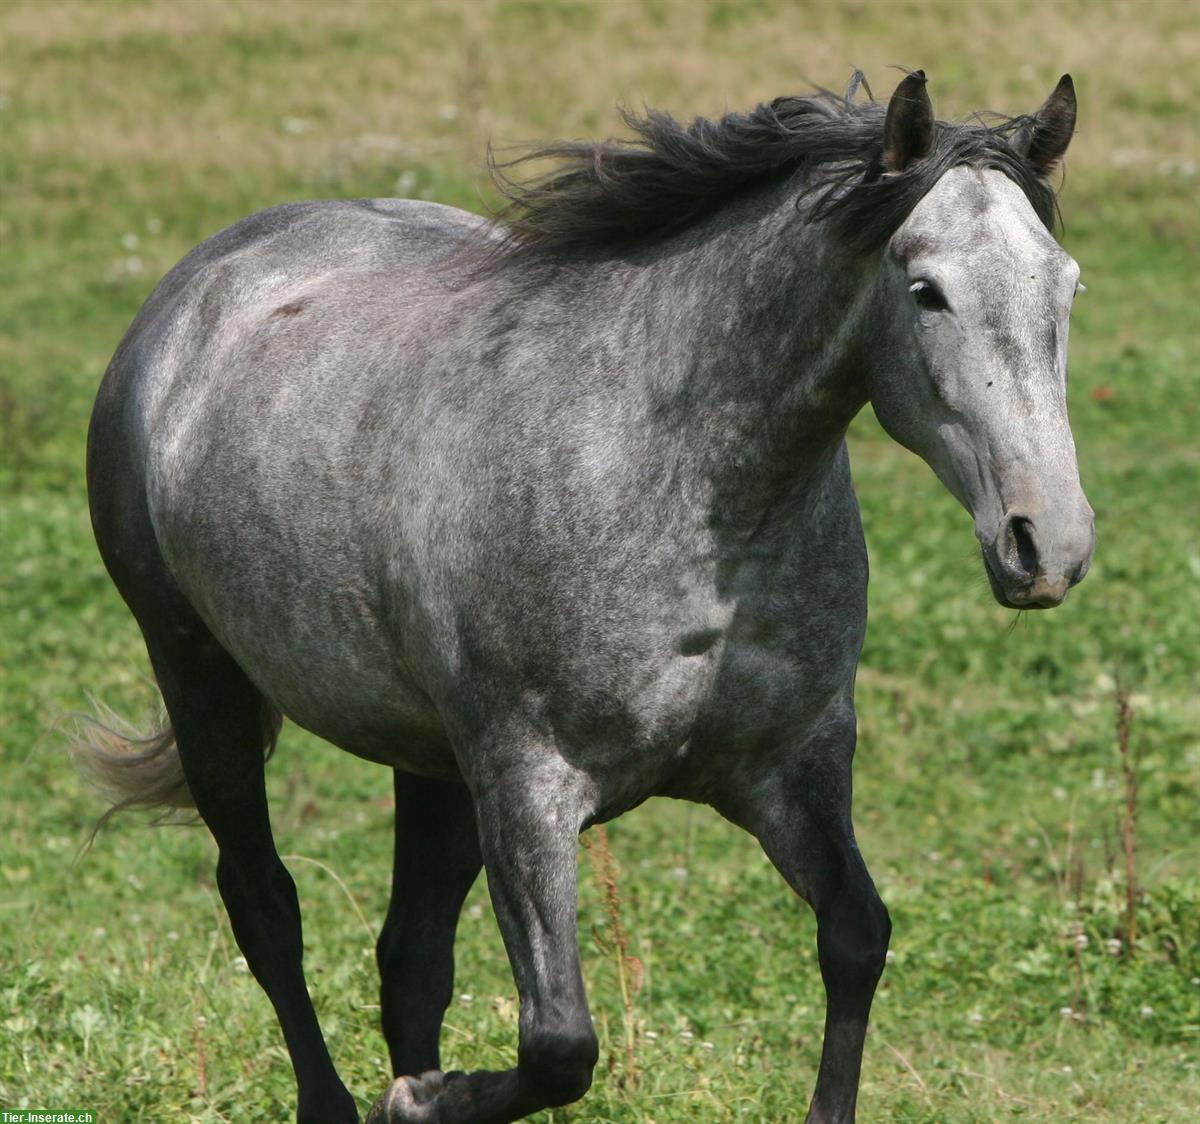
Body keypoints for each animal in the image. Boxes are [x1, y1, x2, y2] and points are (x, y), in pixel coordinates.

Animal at [82, 72, 1099, 1122]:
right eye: (926, 290)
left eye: (1066, 286)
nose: (1048, 542)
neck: (680, 492)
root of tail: (195, 287)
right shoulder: (529, 786)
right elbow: (560, 1043)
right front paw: (425, 1101)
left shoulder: (794, 764)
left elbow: (856, 937)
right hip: (202, 678)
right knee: (265, 904)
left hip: (433, 761)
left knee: (410, 956)